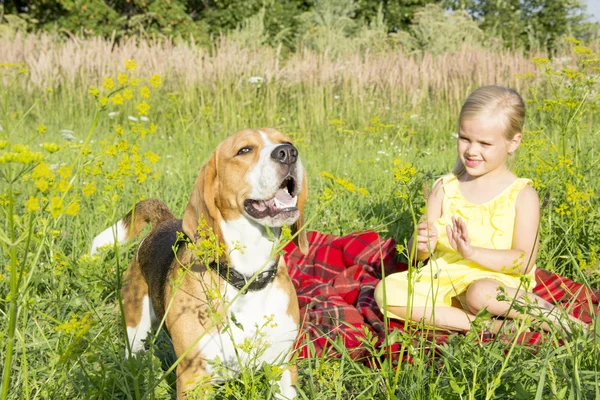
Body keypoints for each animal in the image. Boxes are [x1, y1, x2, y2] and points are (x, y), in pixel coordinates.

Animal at [91, 130, 308, 398]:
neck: (246, 280)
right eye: (244, 150)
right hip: (135, 328)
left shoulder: (282, 367)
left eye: (287, 141)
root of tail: (165, 221)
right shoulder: (193, 377)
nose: (288, 152)